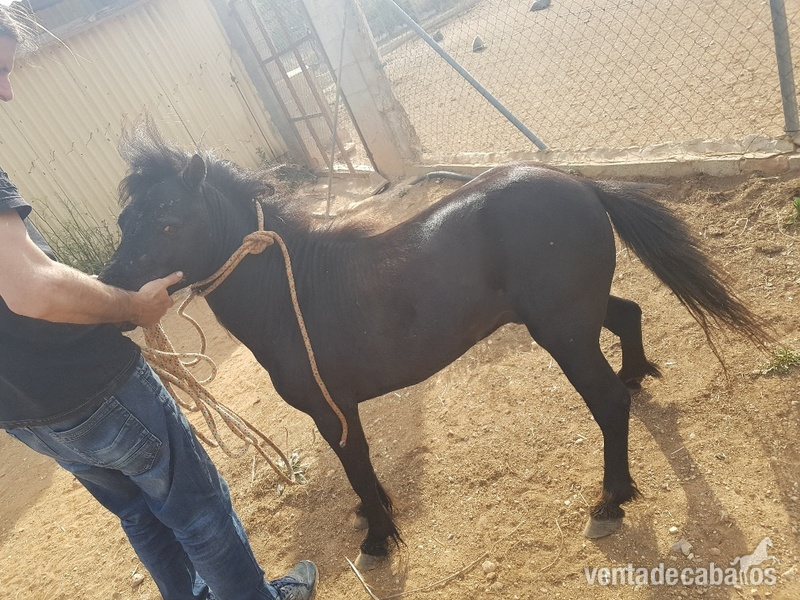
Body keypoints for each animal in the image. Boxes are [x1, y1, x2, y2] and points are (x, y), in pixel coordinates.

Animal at [99, 124, 770, 569]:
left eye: (168, 221)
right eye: (125, 220)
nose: (112, 290)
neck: (292, 294)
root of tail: (577, 183)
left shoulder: (331, 409)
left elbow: (357, 467)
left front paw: (377, 538)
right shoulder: (343, 409)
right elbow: (363, 469)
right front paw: (375, 517)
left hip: (562, 330)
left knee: (608, 403)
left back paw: (612, 500)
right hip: (576, 311)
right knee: (629, 318)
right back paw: (636, 379)